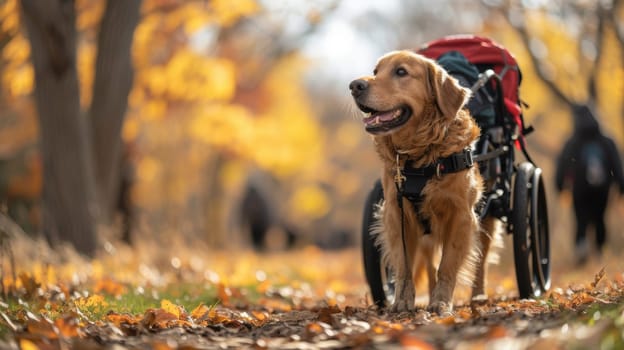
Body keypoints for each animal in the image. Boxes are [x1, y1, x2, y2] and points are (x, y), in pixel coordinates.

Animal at [348, 51, 500, 314]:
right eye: (376, 71)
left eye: (401, 72)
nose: (355, 86)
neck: (420, 156)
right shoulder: (396, 214)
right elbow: (404, 264)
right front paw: (402, 301)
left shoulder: (462, 215)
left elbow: (448, 265)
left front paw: (442, 303)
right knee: (430, 265)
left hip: (487, 217)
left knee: (481, 259)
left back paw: (478, 296)